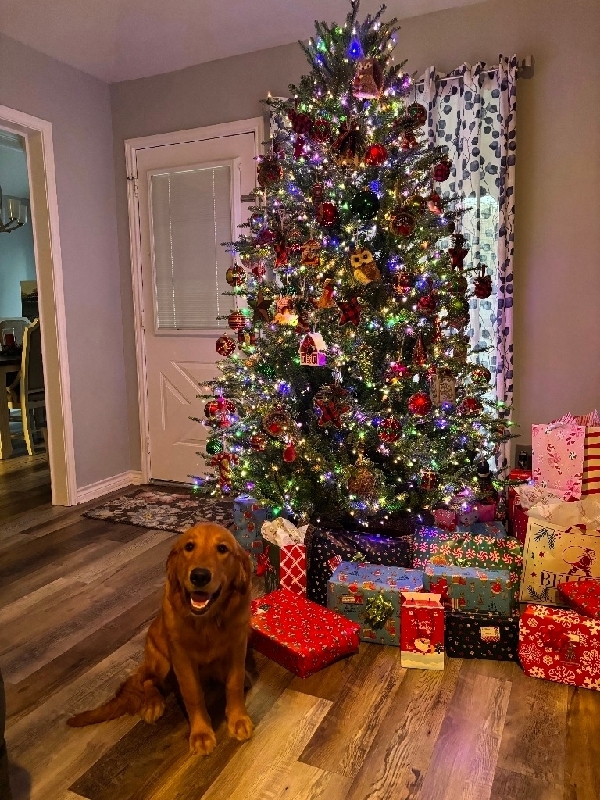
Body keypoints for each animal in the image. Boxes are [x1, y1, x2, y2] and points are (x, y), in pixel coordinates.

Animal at [67, 522, 254, 756]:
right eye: (189, 546)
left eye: (222, 549)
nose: (199, 576)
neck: (207, 621)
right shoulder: (181, 658)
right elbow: (193, 693)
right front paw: (201, 733)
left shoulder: (238, 645)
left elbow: (234, 683)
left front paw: (238, 719)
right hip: (161, 661)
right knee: (147, 681)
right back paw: (153, 704)